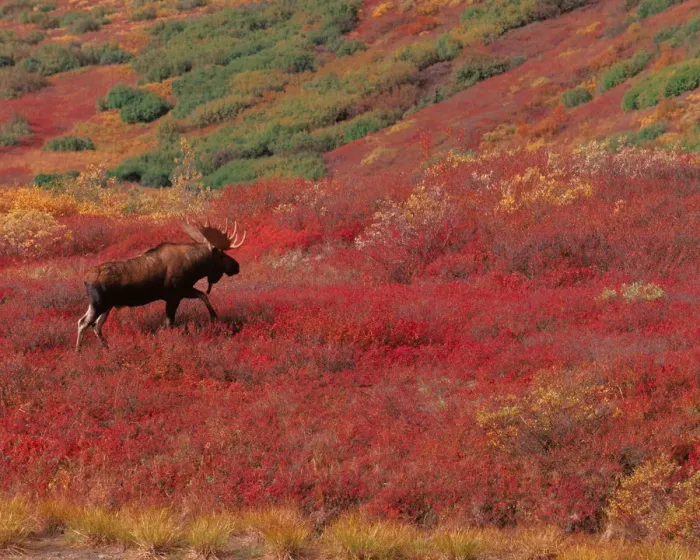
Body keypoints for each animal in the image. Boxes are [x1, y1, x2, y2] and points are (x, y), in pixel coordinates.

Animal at [76, 218, 246, 352]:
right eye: (222, 254)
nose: (237, 266)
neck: (196, 267)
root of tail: (85, 279)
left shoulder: (185, 290)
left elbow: (203, 295)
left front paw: (214, 316)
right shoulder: (175, 295)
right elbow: (169, 323)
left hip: (107, 306)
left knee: (96, 325)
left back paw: (107, 347)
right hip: (99, 304)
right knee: (83, 323)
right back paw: (78, 350)